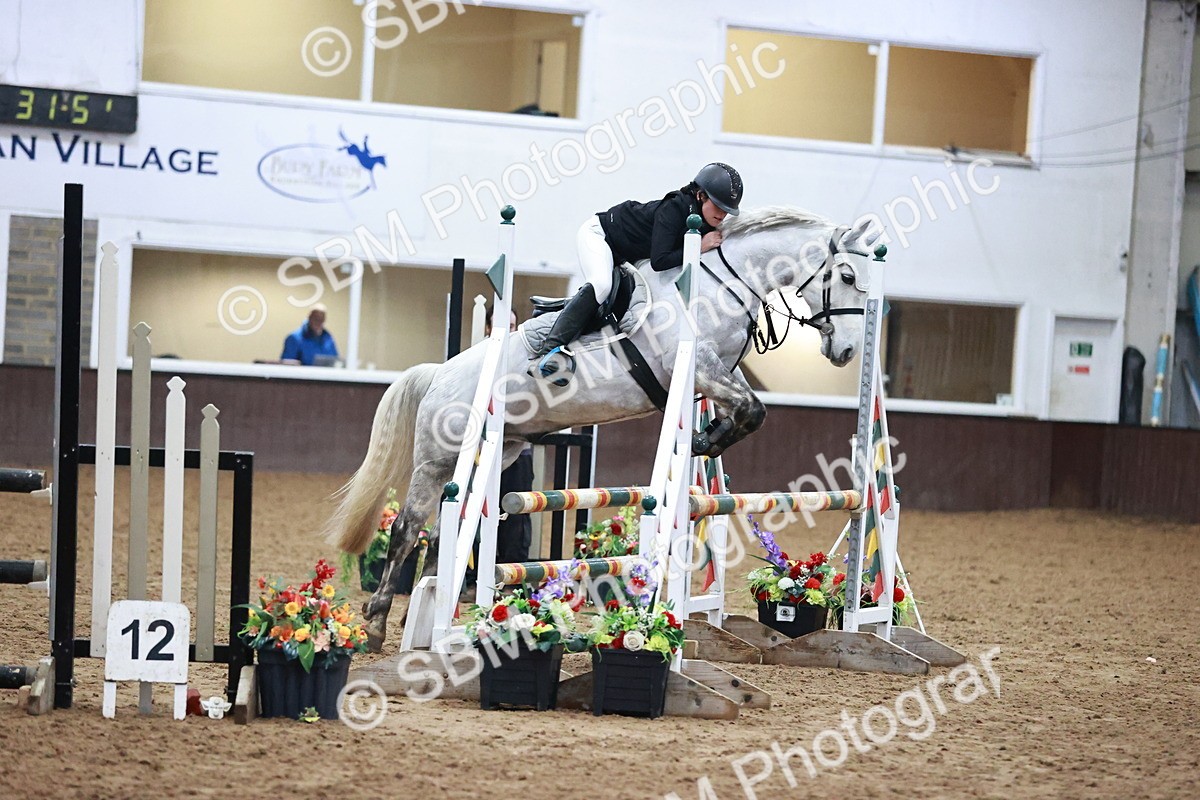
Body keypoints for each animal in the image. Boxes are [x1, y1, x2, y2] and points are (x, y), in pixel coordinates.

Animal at [325, 206, 881, 650]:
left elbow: (749, 410)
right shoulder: (695, 366)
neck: (725, 282)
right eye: (846, 274)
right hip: (438, 458)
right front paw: (703, 440)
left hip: (500, 451)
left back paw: (432, 615)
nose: (849, 351)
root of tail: (439, 373)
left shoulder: (717, 372)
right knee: (407, 530)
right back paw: (376, 626)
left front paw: (705, 440)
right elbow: (751, 409)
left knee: (445, 533)